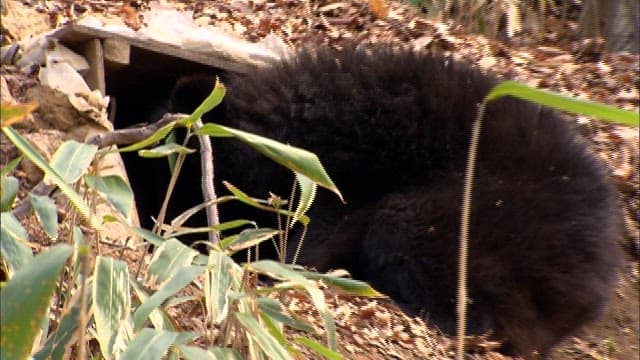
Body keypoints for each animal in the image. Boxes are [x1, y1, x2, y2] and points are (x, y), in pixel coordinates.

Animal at [131, 43, 624, 356]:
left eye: (171, 193)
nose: (155, 235)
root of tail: (602, 273)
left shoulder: (337, 177)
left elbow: (317, 234)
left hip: (495, 216)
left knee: (413, 234)